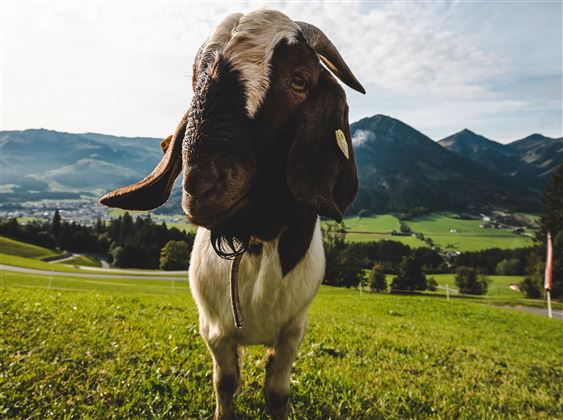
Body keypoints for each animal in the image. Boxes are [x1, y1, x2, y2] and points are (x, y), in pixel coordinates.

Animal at [100, 9, 366, 420]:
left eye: (300, 80)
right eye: (196, 80)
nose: (201, 184)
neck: (255, 239)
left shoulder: (294, 329)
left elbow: (277, 392)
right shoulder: (213, 328)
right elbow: (226, 383)